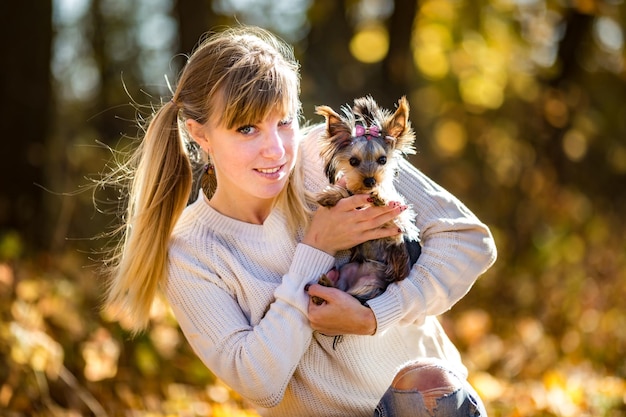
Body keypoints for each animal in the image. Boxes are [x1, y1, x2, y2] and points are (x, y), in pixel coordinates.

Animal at [312, 96, 420, 304]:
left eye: (383, 160)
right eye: (353, 161)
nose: (370, 181)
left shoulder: (401, 225)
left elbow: (395, 218)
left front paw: (380, 196)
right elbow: (347, 192)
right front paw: (331, 195)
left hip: (373, 284)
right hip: (348, 270)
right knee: (342, 290)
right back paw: (324, 287)